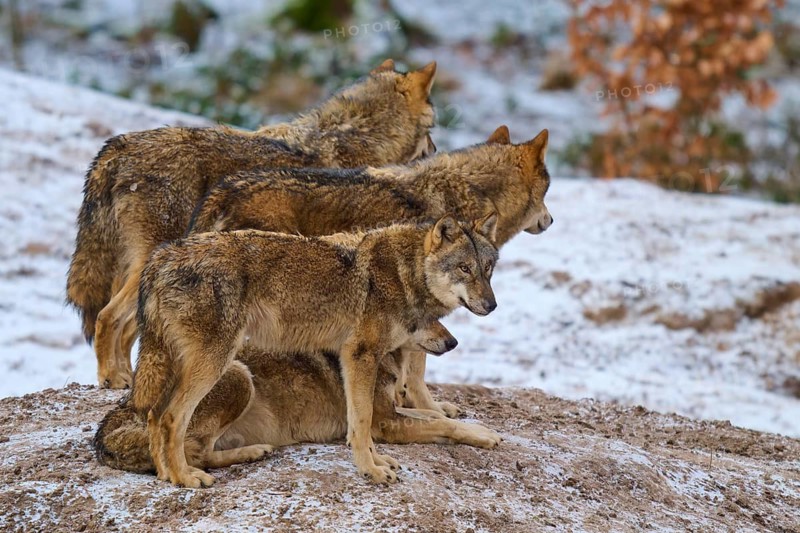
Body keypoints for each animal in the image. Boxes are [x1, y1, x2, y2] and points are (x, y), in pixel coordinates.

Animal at [65, 59, 438, 389]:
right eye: (432, 128)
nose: (435, 150)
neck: (352, 136)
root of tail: (116, 147)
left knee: (130, 330)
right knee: (107, 317)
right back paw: (114, 378)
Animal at [93, 320, 501, 476]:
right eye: (424, 318)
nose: (453, 341)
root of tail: (106, 428)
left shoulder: (390, 413)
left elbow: (439, 416)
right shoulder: (385, 424)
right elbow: (445, 426)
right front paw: (484, 435)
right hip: (238, 377)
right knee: (196, 453)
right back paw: (252, 452)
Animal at [139, 214, 499, 487]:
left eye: (487, 269)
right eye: (464, 268)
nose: (492, 305)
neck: (402, 272)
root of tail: (160, 257)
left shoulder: (357, 364)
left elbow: (375, 422)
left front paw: (379, 460)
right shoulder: (360, 356)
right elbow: (364, 422)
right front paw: (371, 470)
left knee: (155, 415)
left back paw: (169, 476)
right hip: (222, 367)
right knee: (172, 418)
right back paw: (186, 478)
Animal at [188, 125, 552, 418]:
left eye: (489, 269)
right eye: (547, 192)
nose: (550, 220)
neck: (467, 194)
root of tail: (223, 189)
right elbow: (417, 371)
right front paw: (429, 409)